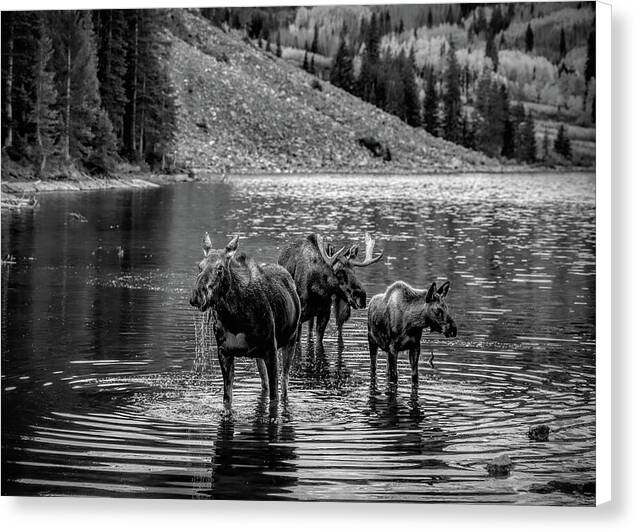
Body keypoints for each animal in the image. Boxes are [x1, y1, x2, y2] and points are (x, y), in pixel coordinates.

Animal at [189, 233, 300, 412]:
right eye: (200, 266)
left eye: (220, 268)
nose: (197, 296)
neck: (235, 318)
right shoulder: (224, 352)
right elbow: (227, 399)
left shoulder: (271, 349)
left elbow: (274, 398)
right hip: (259, 355)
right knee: (265, 384)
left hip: (291, 340)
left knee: (284, 384)